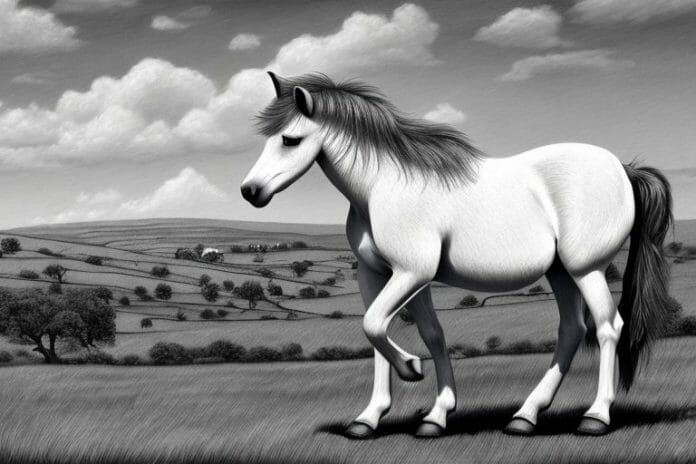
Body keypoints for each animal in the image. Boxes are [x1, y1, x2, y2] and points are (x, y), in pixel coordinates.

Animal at [241, 72, 672, 438]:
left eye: (290, 140)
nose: (250, 191)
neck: (382, 187)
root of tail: (623, 168)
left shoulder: (411, 273)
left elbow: (375, 324)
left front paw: (411, 370)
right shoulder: (379, 274)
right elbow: (414, 333)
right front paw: (390, 418)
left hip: (587, 269)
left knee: (608, 327)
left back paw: (595, 417)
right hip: (561, 272)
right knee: (572, 329)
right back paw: (525, 416)